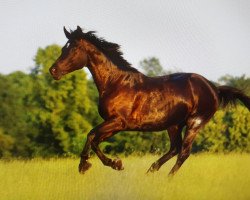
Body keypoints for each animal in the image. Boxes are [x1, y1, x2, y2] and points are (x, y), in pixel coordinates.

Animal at [49, 26, 250, 175]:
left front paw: (105, 164)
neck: (115, 83)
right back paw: (151, 170)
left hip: (195, 122)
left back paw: (166, 179)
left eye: (73, 49)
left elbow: (92, 136)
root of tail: (214, 88)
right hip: (174, 125)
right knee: (175, 148)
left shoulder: (118, 122)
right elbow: (94, 138)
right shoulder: (114, 125)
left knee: (183, 153)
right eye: (63, 48)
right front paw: (95, 164)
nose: (53, 70)